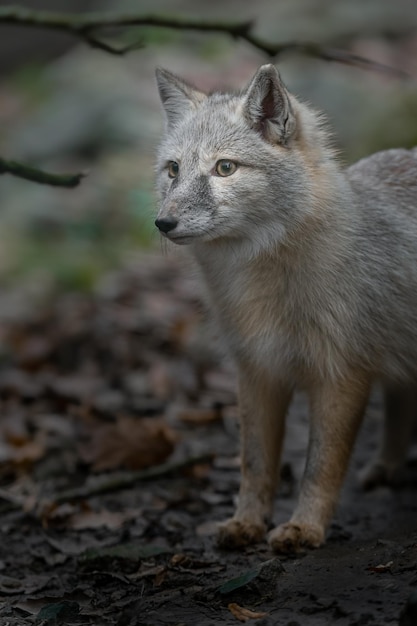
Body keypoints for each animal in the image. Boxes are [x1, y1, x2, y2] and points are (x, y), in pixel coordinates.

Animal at [154, 63, 416, 552]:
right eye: (173, 170)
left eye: (225, 168)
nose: (163, 222)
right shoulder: (257, 370)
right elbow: (255, 464)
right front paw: (246, 522)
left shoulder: (341, 375)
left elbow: (321, 466)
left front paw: (305, 528)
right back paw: (388, 466)